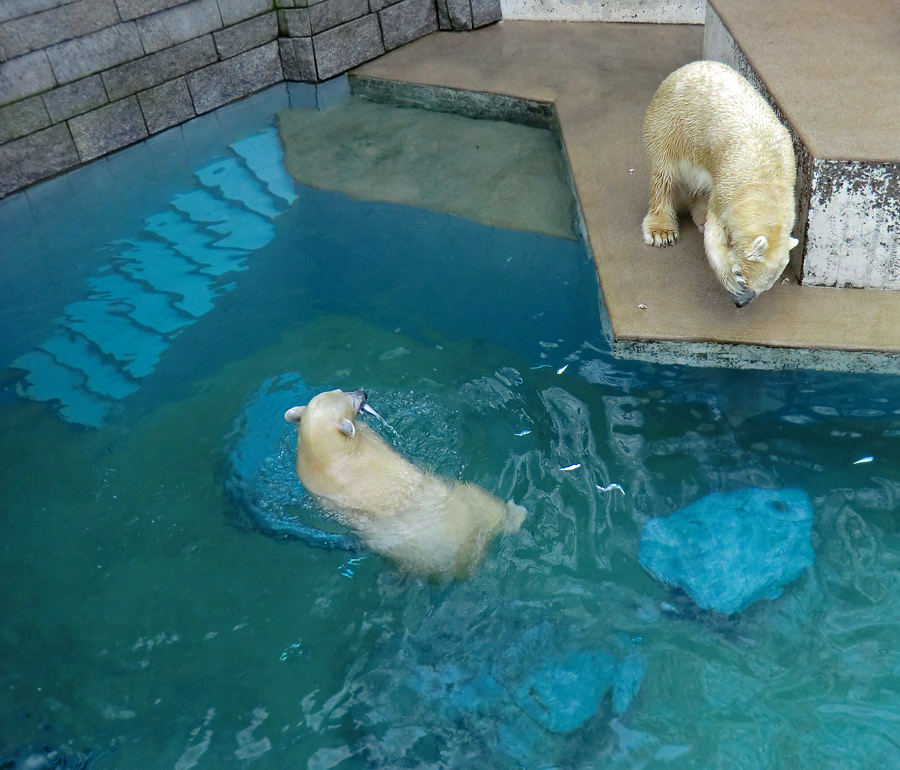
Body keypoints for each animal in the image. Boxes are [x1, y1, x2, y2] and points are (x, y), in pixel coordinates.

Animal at [644, 60, 800, 306]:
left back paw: (698, 215)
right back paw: (661, 231)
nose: (741, 303)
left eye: (764, 288)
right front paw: (729, 276)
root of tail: (689, 66)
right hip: (670, 126)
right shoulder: (728, 190)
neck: (766, 180)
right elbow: (714, 236)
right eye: (745, 279)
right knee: (665, 177)